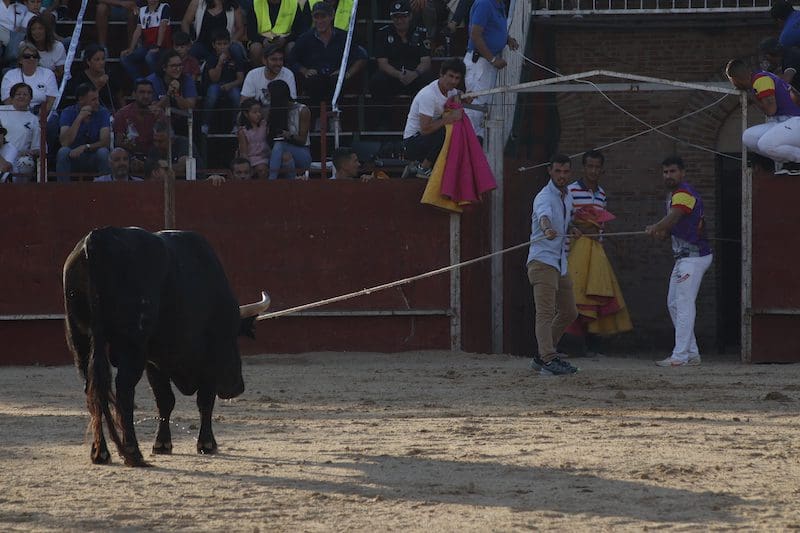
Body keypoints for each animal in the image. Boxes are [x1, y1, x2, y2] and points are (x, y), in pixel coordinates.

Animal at [63, 226, 270, 467]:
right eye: (234, 335)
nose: (237, 387)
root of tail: (97, 238)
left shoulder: (154, 361)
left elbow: (165, 400)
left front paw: (162, 443)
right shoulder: (207, 359)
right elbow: (204, 401)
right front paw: (207, 443)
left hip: (80, 338)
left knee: (92, 388)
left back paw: (100, 452)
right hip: (132, 345)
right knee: (124, 390)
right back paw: (132, 452)